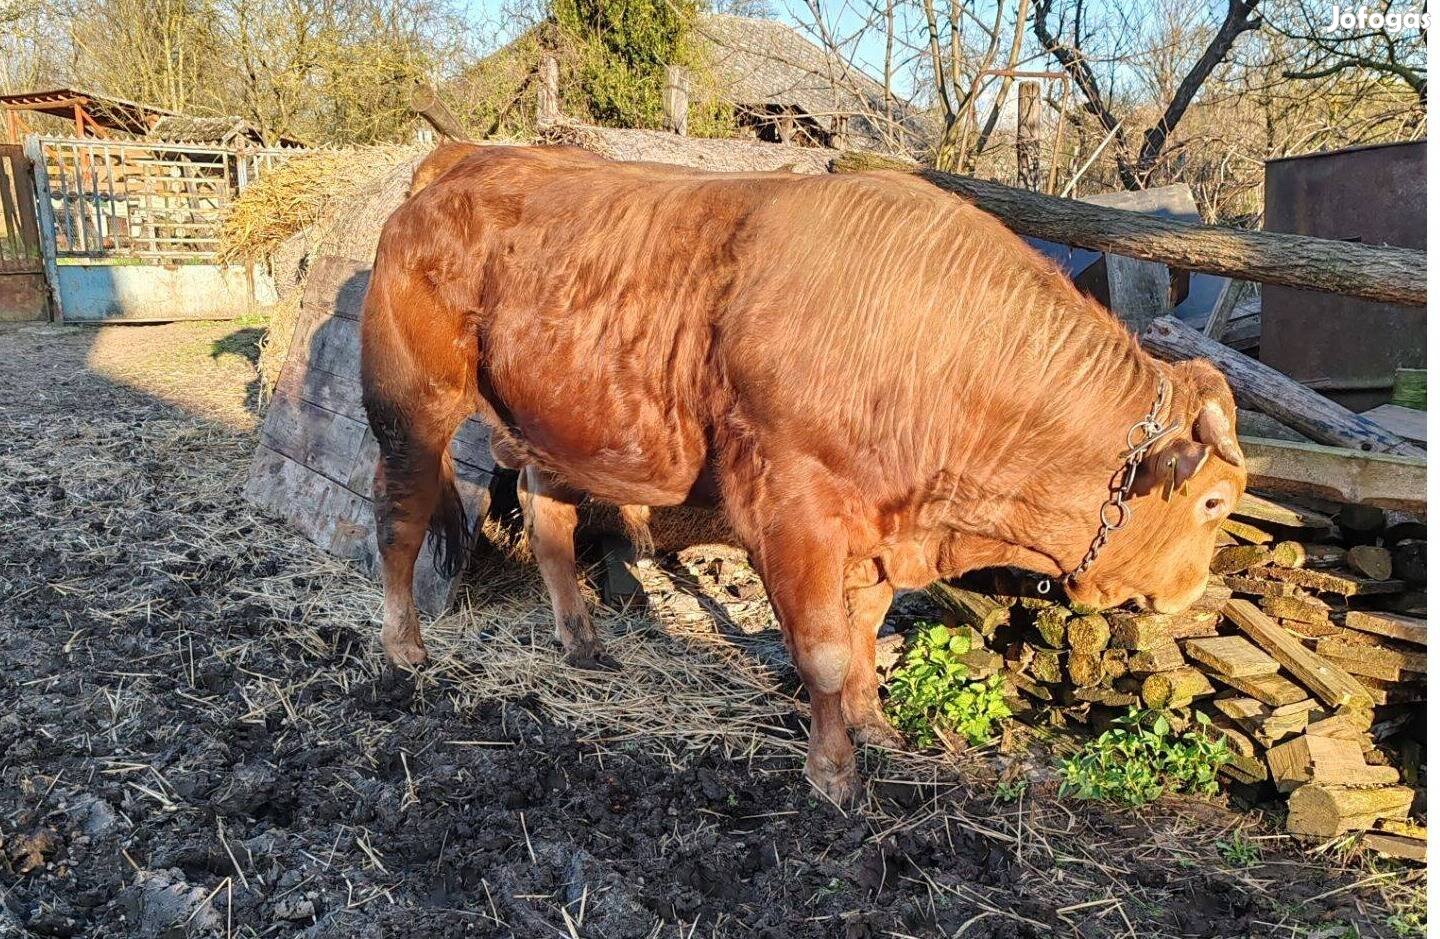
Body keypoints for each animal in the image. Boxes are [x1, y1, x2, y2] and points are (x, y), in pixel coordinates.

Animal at [354, 143, 1244, 800]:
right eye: (1212, 501)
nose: (1193, 589)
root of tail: (461, 162)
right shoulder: (794, 508)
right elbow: (821, 649)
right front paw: (834, 771)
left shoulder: (881, 534)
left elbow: (863, 635)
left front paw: (875, 726)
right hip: (412, 408)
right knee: (399, 517)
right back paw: (404, 648)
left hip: (553, 423)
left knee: (548, 524)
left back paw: (582, 642)